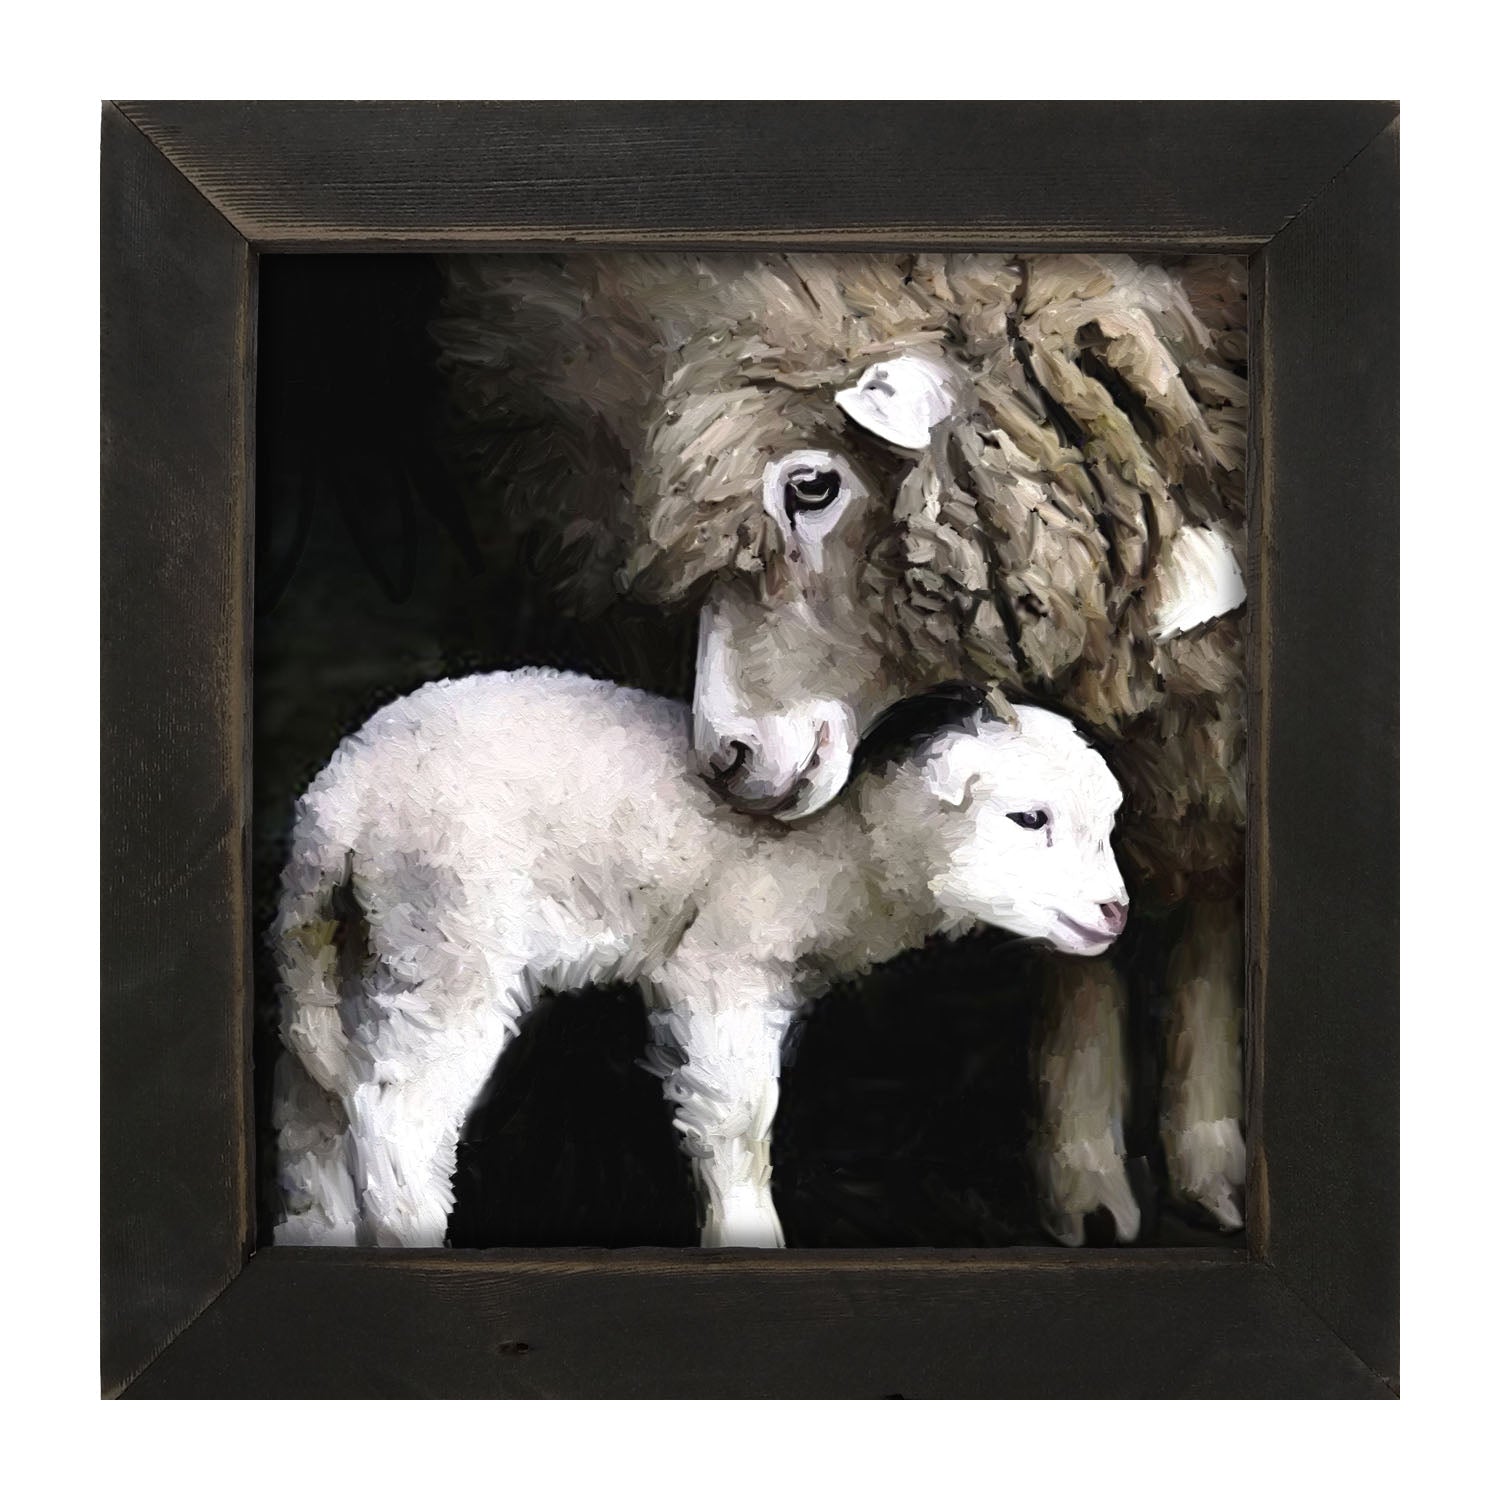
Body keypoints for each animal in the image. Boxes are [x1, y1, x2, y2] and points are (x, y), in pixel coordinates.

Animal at [271, 668, 1128, 1250]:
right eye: (1028, 818)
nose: (1115, 913)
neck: (851, 848)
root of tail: (336, 804)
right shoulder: (723, 964)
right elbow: (740, 1121)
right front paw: (748, 1233)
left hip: (368, 947)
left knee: (317, 1111)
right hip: (452, 938)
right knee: (397, 1119)